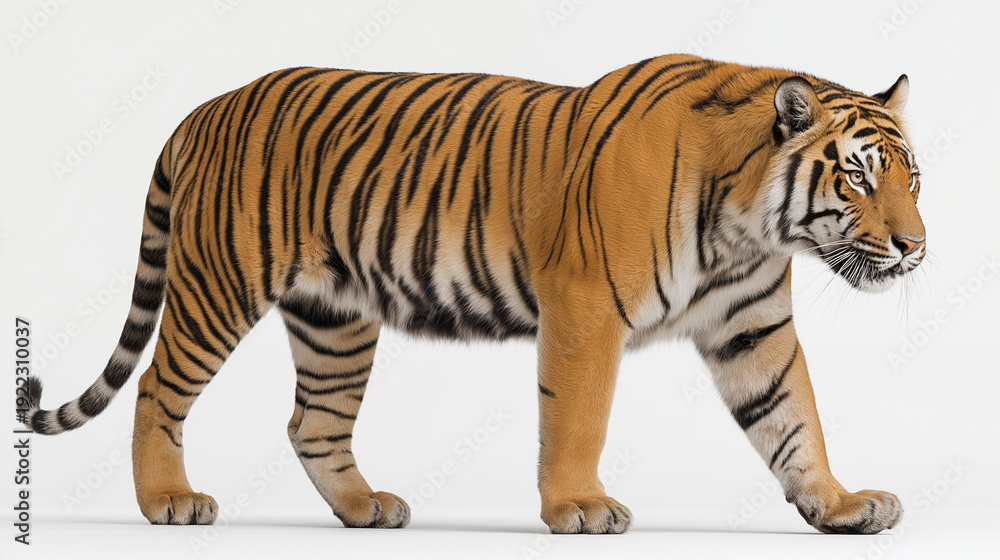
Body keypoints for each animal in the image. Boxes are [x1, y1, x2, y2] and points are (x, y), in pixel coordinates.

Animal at [25, 53, 924, 534]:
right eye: (857, 176)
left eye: (912, 179)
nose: (916, 247)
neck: (748, 224)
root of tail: (206, 107)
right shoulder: (585, 308)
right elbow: (578, 418)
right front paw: (579, 508)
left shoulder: (752, 327)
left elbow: (793, 417)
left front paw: (841, 504)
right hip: (220, 283)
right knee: (156, 386)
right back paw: (168, 501)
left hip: (334, 320)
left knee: (312, 422)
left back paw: (365, 509)